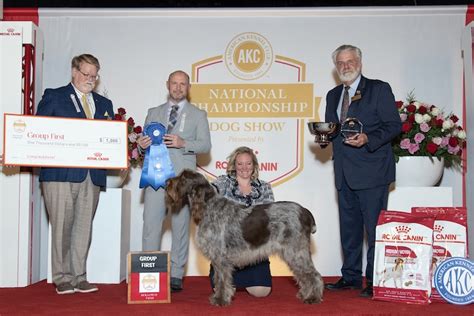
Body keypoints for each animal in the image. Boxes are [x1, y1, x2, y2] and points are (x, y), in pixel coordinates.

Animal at [165, 170, 324, 306]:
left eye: (183, 177)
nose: (167, 182)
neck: (207, 206)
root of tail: (304, 211)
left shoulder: (221, 258)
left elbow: (221, 280)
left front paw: (220, 300)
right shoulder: (217, 259)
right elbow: (218, 280)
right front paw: (219, 297)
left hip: (296, 252)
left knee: (314, 275)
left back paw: (313, 297)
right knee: (304, 276)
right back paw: (305, 294)